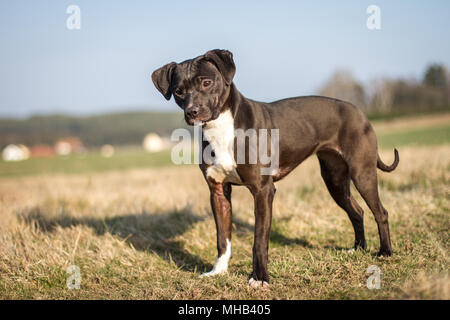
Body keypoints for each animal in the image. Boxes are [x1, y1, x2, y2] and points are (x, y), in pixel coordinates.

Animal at [153, 49, 400, 288]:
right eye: (179, 91)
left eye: (206, 82)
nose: (192, 112)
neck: (222, 127)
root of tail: (358, 111)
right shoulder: (218, 192)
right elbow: (223, 239)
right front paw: (218, 271)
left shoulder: (263, 191)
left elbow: (259, 240)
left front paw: (260, 278)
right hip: (335, 181)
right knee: (357, 212)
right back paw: (358, 249)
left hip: (362, 173)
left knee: (381, 212)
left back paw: (385, 252)